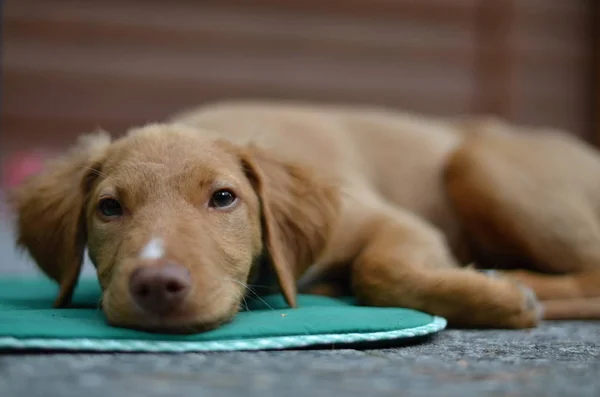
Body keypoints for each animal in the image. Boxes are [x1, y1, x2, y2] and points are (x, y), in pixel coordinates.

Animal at [11, 100, 600, 330]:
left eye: (223, 198)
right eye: (109, 208)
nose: (156, 284)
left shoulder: (394, 221)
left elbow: (379, 270)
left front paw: (500, 300)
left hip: (478, 161)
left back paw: (516, 282)